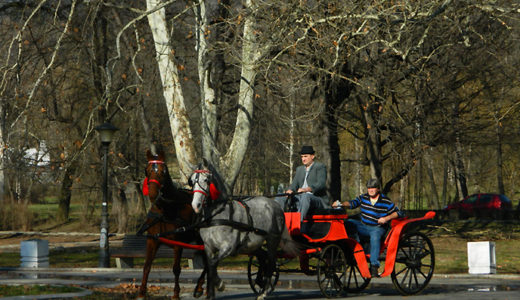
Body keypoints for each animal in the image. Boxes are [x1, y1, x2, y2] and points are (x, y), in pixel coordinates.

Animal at [138, 150, 207, 300]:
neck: (164, 210)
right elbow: (147, 266)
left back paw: (199, 286)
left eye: (163, 171)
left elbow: (176, 269)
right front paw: (141, 292)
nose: (152, 193)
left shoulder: (178, 243)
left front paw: (176, 293)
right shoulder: (152, 240)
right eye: (147, 170)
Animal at [189, 159, 298, 298]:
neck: (217, 215)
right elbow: (209, 267)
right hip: (254, 244)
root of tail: (276, 205)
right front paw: (209, 294)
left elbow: (213, 264)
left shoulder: (228, 247)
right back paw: (260, 282)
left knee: (271, 263)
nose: (195, 205)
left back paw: (264, 292)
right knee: (263, 258)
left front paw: (219, 284)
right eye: (191, 181)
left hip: (272, 240)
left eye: (206, 180)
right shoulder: (208, 247)